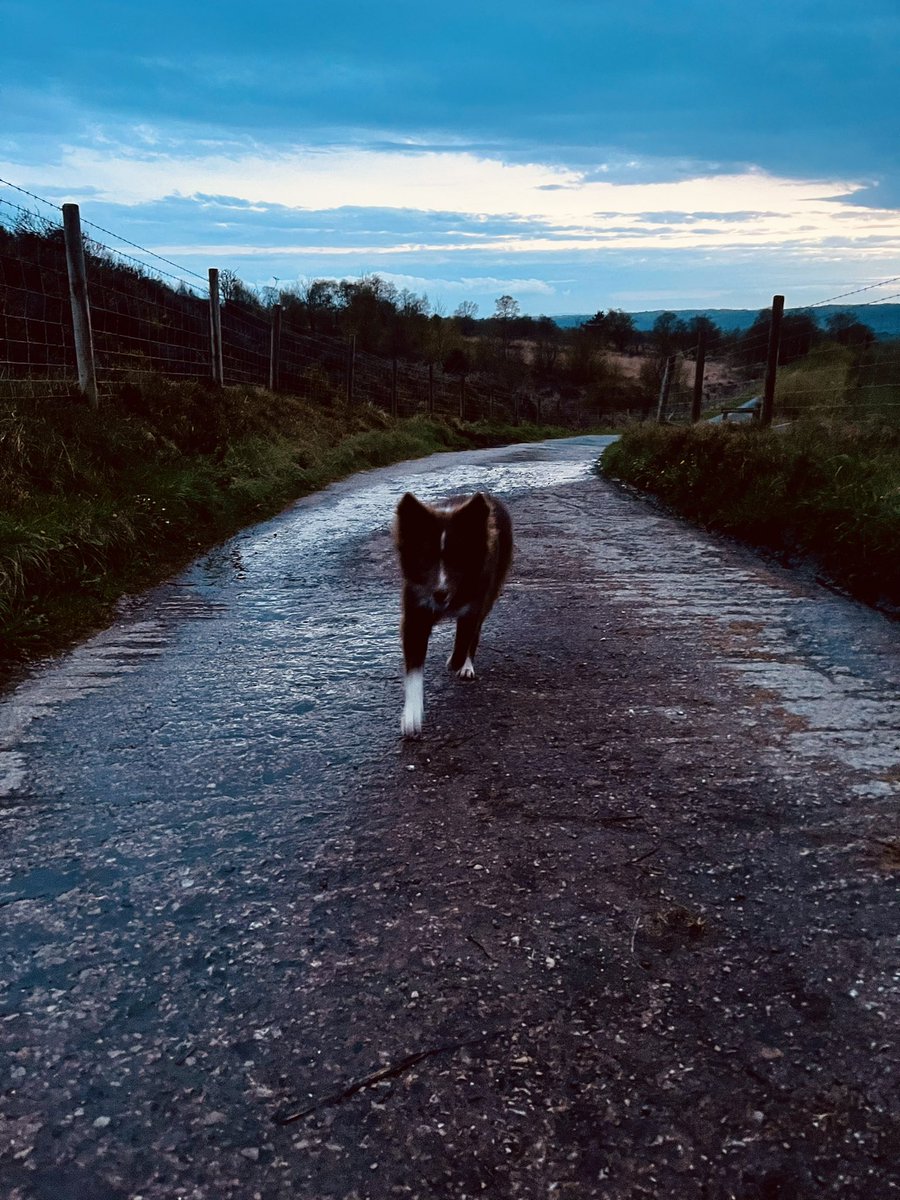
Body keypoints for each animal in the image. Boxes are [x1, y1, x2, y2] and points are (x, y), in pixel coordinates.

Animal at [396, 484, 513, 729]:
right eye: (425, 560)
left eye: (458, 559)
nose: (440, 594)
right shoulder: (415, 613)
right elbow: (414, 669)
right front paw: (412, 714)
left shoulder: (474, 605)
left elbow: (464, 641)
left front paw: (456, 663)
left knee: (474, 635)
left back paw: (466, 667)